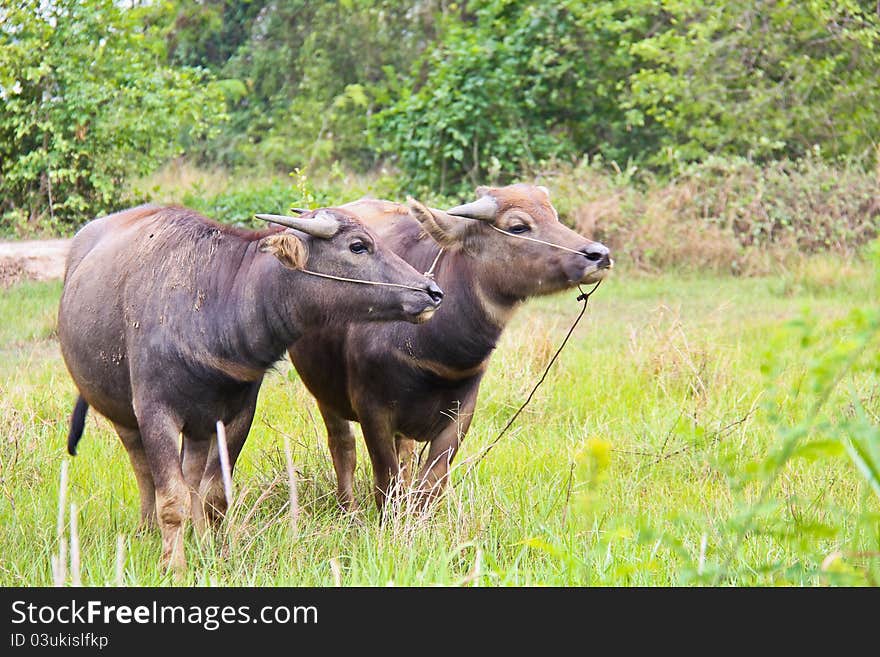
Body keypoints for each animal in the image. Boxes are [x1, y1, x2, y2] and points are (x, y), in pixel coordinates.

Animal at [288, 184, 612, 512]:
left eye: (555, 216)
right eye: (518, 226)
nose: (599, 255)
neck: (433, 356)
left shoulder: (461, 413)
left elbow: (430, 484)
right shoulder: (371, 409)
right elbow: (387, 482)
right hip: (324, 393)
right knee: (343, 446)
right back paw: (348, 508)